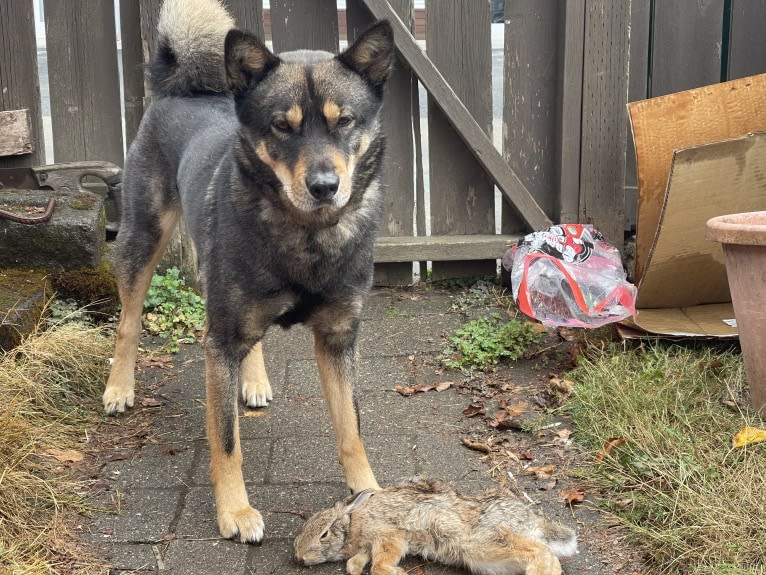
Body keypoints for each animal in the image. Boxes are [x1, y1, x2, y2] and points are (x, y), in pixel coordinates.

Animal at [103, 0, 396, 544]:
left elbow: (352, 428)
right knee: (128, 322)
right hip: (141, 239)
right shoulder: (222, 340)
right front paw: (235, 512)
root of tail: (177, 87)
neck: (306, 233)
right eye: (282, 125)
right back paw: (119, 388)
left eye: (345, 121)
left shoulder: (338, 338)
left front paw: (370, 493)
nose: (325, 186)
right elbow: (226, 439)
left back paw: (253, 381)